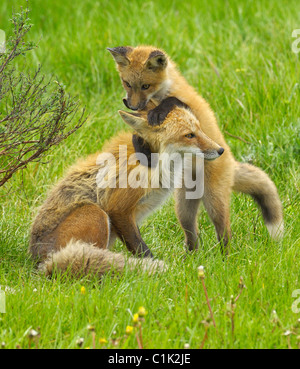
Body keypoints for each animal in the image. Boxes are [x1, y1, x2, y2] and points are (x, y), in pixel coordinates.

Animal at [30, 103, 223, 276]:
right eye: (189, 135)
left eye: (200, 130)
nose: (221, 150)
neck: (154, 163)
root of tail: (41, 263)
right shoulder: (118, 209)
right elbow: (142, 249)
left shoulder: (131, 216)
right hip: (96, 214)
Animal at [107, 44, 284, 249]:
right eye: (127, 83)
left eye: (145, 86)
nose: (133, 106)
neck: (159, 96)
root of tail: (231, 161)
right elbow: (140, 135)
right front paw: (144, 150)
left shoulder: (189, 110)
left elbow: (173, 103)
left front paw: (160, 112)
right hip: (184, 209)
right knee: (193, 238)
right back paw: (190, 256)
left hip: (215, 203)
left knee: (225, 233)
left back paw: (226, 256)